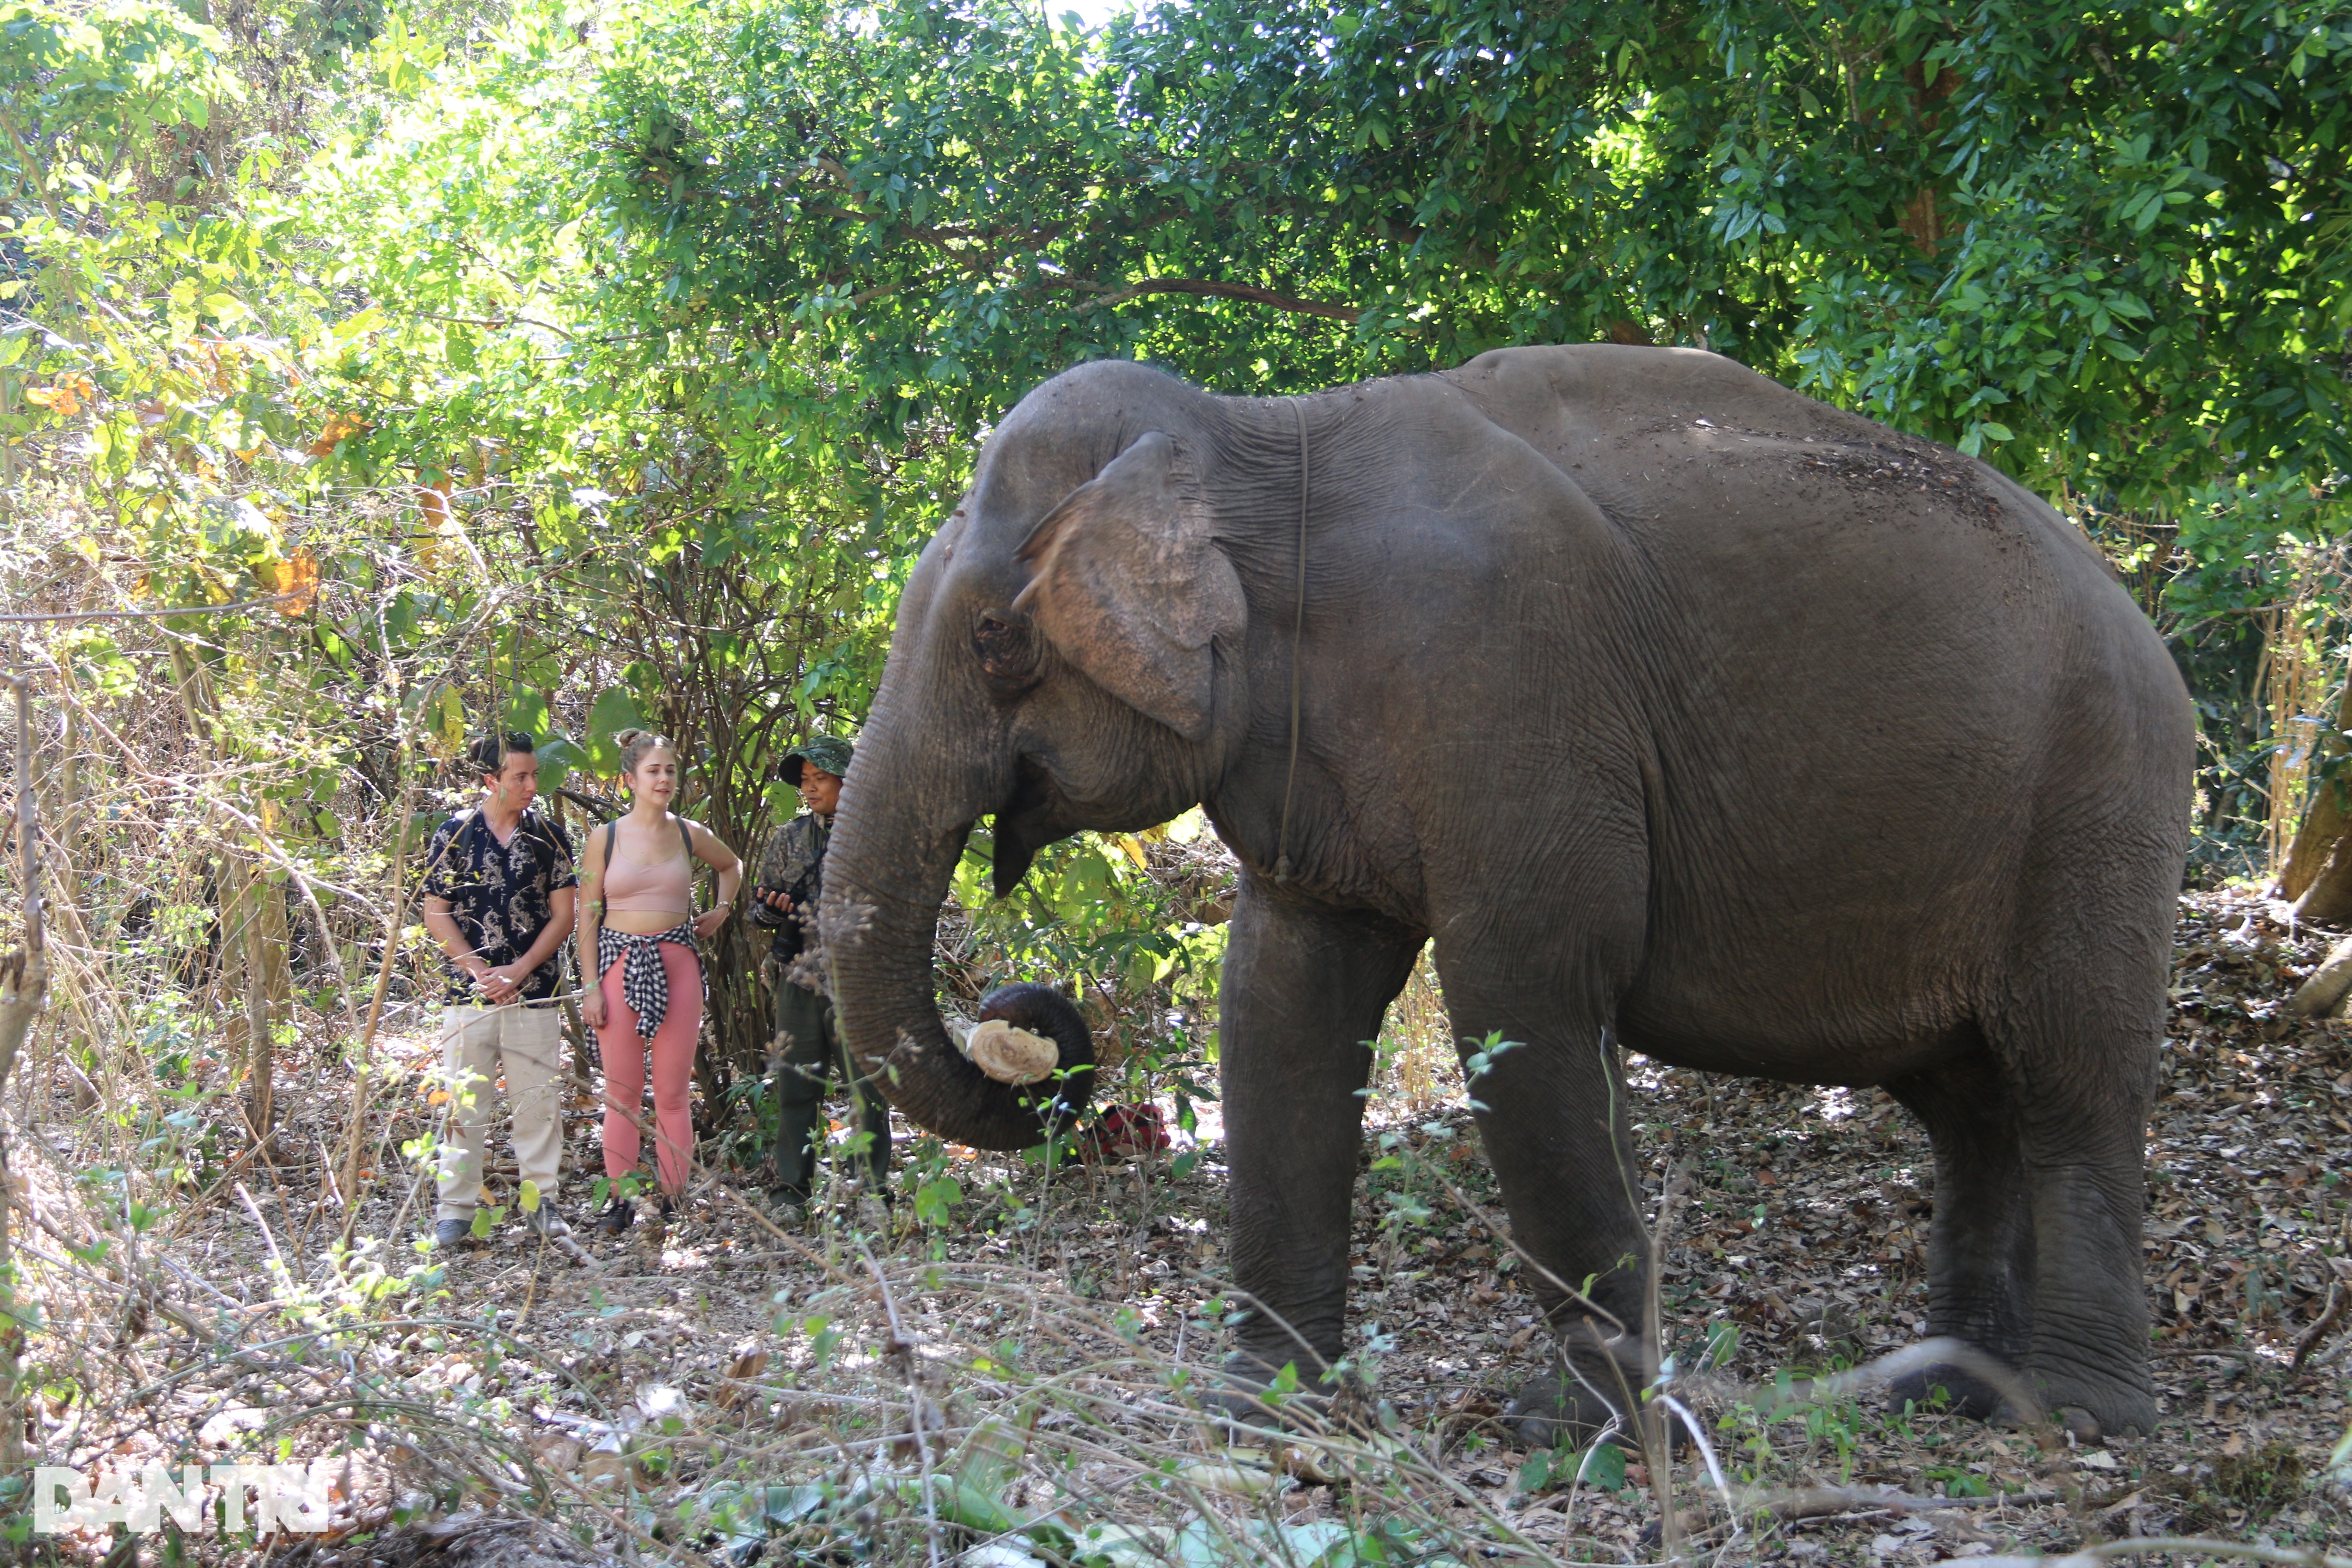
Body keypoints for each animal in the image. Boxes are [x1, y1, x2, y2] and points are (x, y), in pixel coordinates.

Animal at [818, 345, 2192, 1448]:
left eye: (996, 639)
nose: (1029, 1029)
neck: (1257, 435)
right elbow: (1280, 999)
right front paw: (1259, 1408)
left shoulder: (1507, 679)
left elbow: (1519, 996)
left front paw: (1579, 1431)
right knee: (1967, 1103)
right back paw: (1953, 1393)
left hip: (2099, 805)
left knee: (2070, 1074)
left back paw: (2079, 1417)